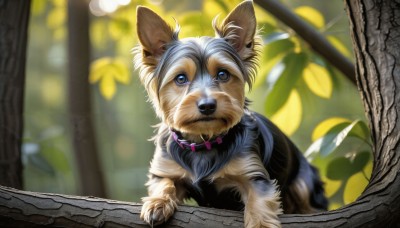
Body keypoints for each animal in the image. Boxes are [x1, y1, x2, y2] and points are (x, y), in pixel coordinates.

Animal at [133, 1, 326, 226]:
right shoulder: (166, 169)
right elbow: (164, 183)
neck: (203, 142)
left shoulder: (254, 175)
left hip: (305, 181)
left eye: (223, 74)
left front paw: (260, 224)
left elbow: (259, 202)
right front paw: (157, 203)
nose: (207, 105)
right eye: (180, 78)